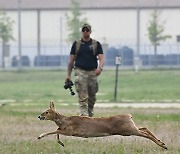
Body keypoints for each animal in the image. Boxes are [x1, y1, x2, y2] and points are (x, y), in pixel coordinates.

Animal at [37, 100, 167, 149]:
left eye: (47, 111)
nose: (39, 116)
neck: (64, 120)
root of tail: (129, 115)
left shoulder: (70, 131)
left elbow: (54, 131)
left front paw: (40, 136)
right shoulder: (64, 130)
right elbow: (56, 131)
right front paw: (61, 143)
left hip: (128, 129)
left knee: (145, 133)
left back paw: (163, 145)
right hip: (128, 130)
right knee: (144, 128)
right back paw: (162, 142)